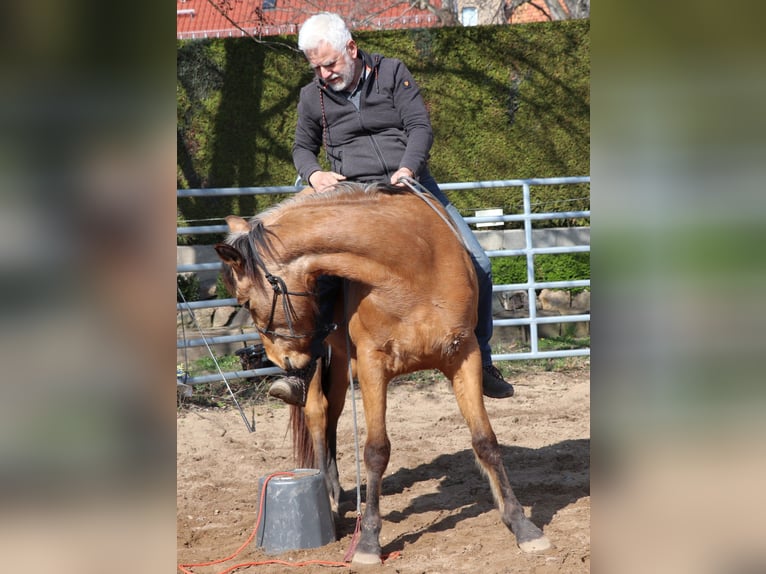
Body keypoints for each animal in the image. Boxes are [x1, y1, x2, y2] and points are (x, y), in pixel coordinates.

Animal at [214, 182, 551, 564]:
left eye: (244, 301)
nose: (283, 361)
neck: (411, 265)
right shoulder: (373, 365)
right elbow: (376, 450)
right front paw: (368, 542)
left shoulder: (464, 355)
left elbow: (486, 441)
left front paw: (522, 526)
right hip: (324, 357)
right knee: (317, 413)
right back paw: (327, 495)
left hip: (337, 362)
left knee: (332, 414)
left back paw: (335, 490)